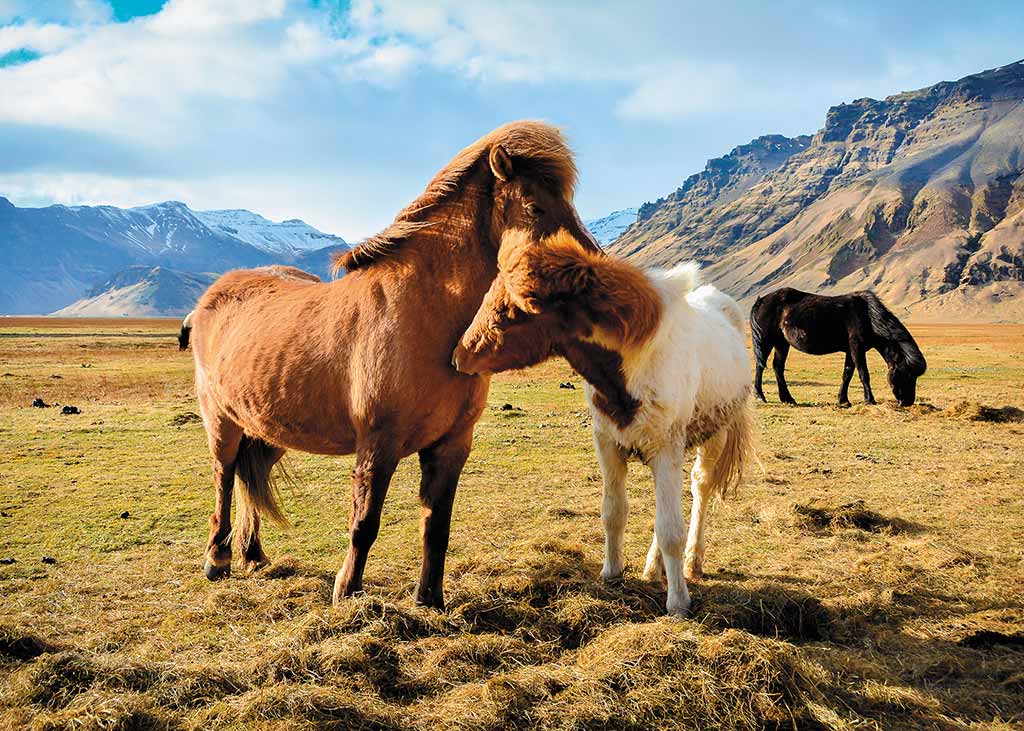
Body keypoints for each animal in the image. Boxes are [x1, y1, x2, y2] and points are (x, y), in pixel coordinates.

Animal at [190, 122, 598, 606]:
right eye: (536, 206)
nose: (590, 273)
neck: (424, 313)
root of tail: (212, 298)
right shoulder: (377, 445)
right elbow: (364, 524)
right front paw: (347, 594)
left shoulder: (451, 446)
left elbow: (437, 528)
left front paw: (430, 601)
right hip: (222, 422)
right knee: (224, 477)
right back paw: (217, 561)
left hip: (268, 428)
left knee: (251, 479)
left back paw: (253, 555)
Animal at [452, 229, 757, 614]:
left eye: (513, 310)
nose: (459, 355)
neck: (628, 365)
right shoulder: (608, 444)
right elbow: (614, 512)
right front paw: (612, 574)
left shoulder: (665, 449)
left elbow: (670, 528)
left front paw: (678, 603)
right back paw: (653, 567)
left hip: (712, 436)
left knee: (699, 488)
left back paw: (692, 562)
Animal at [749, 286, 925, 407]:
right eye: (907, 374)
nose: (908, 402)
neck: (868, 316)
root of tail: (761, 300)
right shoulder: (856, 348)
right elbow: (863, 374)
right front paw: (870, 400)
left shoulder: (850, 351)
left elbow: (847, 374)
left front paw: (843, 400)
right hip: (766, 340)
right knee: (760, 365)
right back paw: (760, 396)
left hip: (782, 343)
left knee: (777, 367)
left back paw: (788, 398)